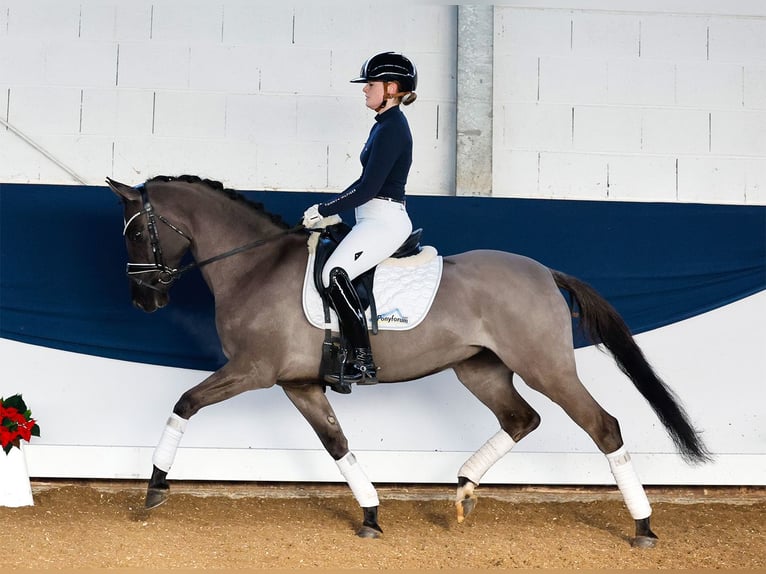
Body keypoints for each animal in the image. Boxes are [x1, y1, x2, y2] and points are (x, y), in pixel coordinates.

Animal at [105, 174, 712, 548]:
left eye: (135, 233)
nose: (142, 300)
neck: (255, 266)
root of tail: (544, 272)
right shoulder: (300, 384)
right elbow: (337, 445)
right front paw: (371, 515)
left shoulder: (253, 372)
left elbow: (185, 401)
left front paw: (155, 487)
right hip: (480, 368)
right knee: (521, 418)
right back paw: (463, 488)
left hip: (548, 368)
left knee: (602, 426)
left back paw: (644, 527)